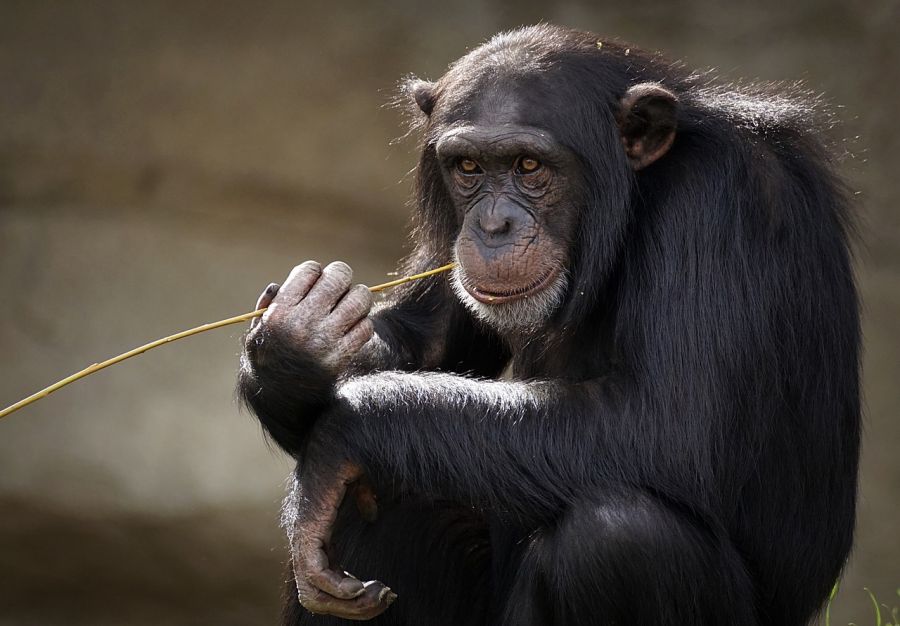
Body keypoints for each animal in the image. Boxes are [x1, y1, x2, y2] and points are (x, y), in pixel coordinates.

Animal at [236, 24, 860, 624]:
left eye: (529, 166)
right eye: (468, 167)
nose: (492, 225)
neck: (638, 194)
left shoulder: (719, 200)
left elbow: (672, 422)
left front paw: (343, 433)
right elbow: (429, 342)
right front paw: (294, 346)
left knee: (620, 536)